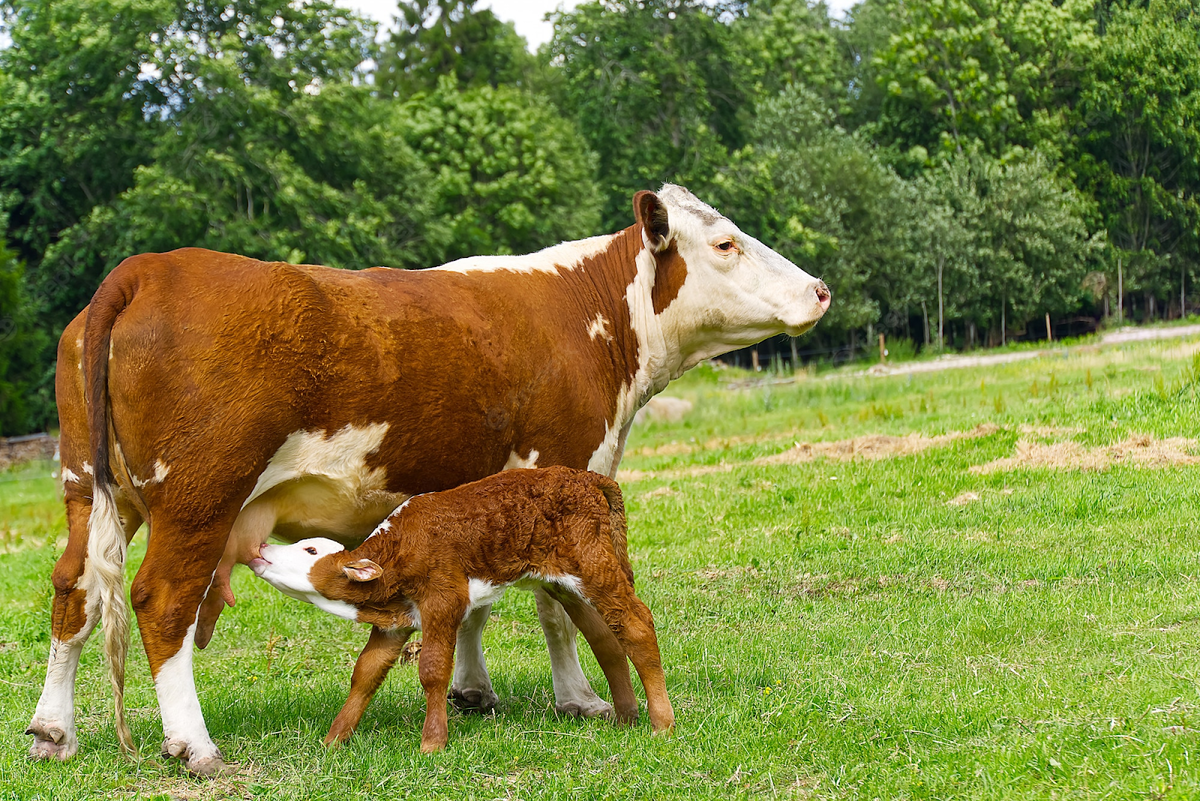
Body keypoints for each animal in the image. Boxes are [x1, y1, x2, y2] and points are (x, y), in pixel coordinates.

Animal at [250, 465, 676, 753]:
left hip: (595, 565)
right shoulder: (394, 623)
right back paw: (626, 717)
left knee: (637, 625)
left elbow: (433, 668)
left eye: (310, 550)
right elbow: (365, 673)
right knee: (606, 635)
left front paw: (432, 743)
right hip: (565, 581)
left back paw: (662, 724)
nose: (262, 548)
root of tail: (584, 476)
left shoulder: (444, 599)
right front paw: (334, 740)